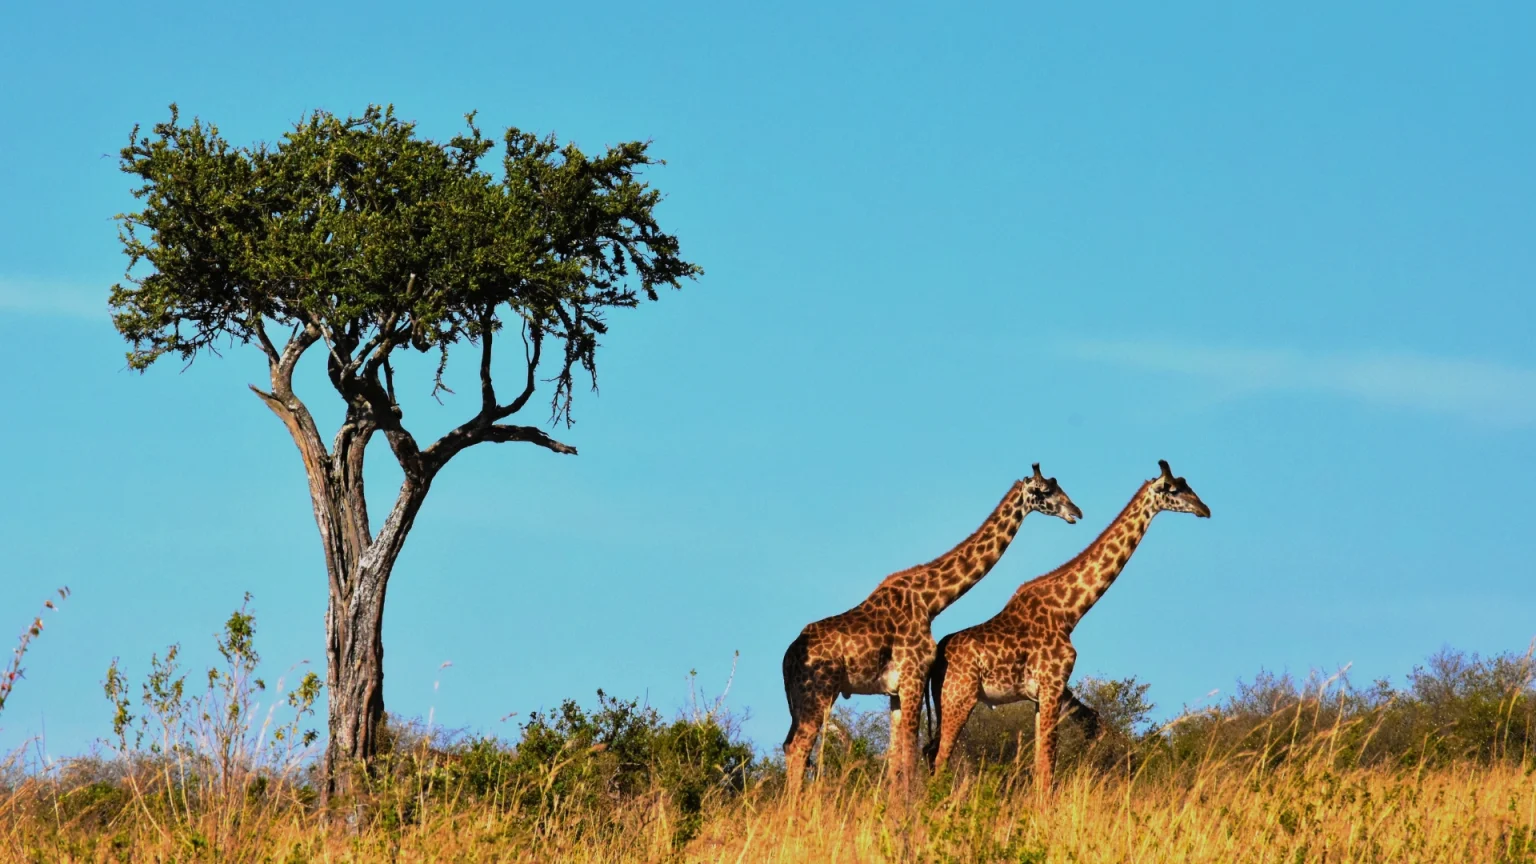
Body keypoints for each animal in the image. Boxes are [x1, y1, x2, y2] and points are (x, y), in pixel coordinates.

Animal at [780, 464, 1081, 793]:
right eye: (1045, 490)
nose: (1076, 512)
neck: (930, 600)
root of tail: (787, 659)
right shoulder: (913, 677)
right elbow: (910, 754)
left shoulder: (896, 690)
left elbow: (896, 758)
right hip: (820, 692)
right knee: (800, 747)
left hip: (800, 699)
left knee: (789, 746)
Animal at [921, 461, 1210, 793]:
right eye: (1173, 489)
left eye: (1188, 484)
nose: (1204, 509)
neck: (1069, 611)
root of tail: (937, 658)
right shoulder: (1053, 685)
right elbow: (1048, 765)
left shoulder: (1044, 694)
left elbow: (1044, 762)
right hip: (959, 696)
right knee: (941, 756)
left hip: (943, 700)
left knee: (930, 751)